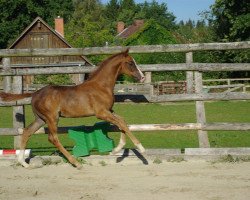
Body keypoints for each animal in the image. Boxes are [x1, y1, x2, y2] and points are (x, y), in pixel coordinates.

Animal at [0, 48, 145, 169]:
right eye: (130, 63)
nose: (142, 77)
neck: (101, 86)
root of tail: (35, 93)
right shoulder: (101, 113)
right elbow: (121, 123)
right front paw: (140, 148)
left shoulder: (109, 110)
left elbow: (122, 121)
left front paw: (116, 150)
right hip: (52, 118)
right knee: (53, 138)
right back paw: (76, 163)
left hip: (40, 119)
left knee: (26, 132)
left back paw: (24, 163)